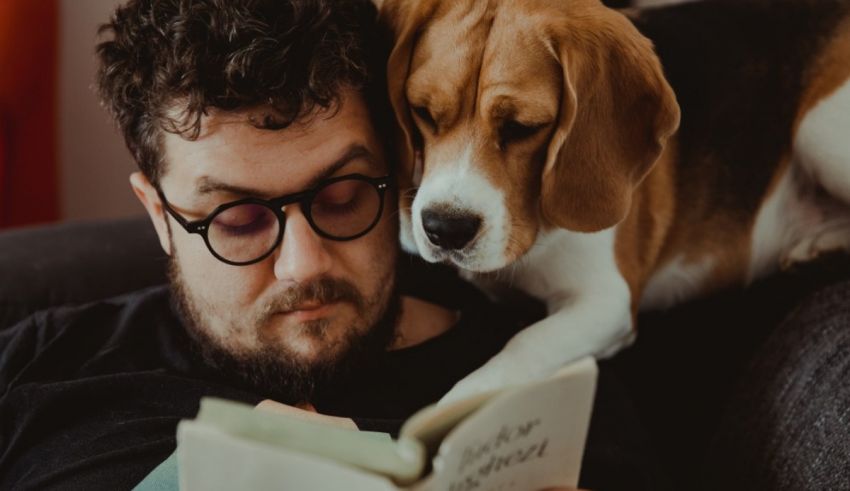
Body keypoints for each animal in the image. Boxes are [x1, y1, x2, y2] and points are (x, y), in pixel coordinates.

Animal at [378, 0, 848, 402]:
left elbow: (526, 343)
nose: (445, 229)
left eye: (523, 127)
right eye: (423, 112)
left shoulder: (606, 300)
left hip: (818, 130)